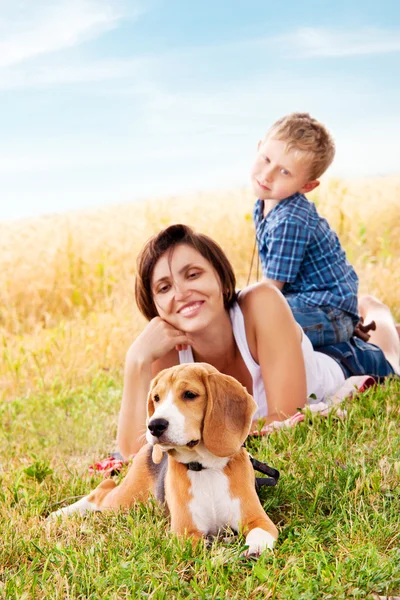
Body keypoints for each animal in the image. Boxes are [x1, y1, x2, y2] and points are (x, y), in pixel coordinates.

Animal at [49, 364, 278, 556]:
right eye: (156, 398)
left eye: (190, 394)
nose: (154, 425)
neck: (205, 467)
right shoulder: (186, 534)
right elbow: (207, 548)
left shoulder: (259, 520)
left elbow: (260, 536)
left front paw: (252, 550)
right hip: (125, 500)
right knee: (102, 489)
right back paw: (60, 513)